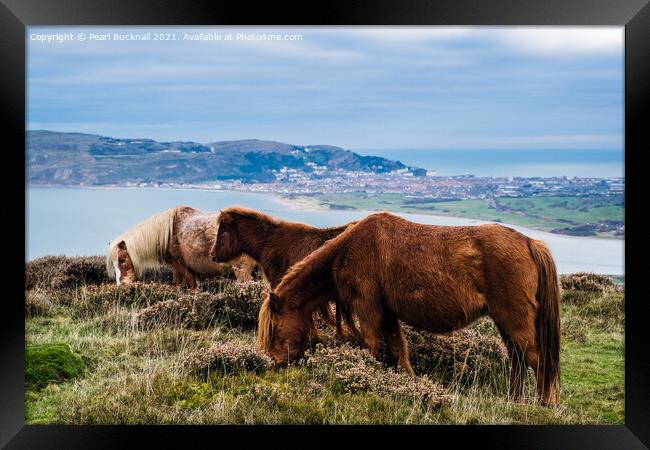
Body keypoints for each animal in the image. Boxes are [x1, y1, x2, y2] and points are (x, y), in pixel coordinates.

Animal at [106, 205, 253, 286]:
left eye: (122, 259)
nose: (121, 285)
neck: (169, 232)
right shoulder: (176, 268)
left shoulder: (184, 267)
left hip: (241, 270)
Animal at [258, 213, 560, 406]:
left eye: (275, 329)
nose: (274, 362)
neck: (347, 251)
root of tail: (530, 243)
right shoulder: (387, 313)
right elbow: (398, 349)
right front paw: (408, 383)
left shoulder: (367, 309)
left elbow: (372, 345)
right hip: (504, 321)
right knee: (518, 359)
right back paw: (514, 400)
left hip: (515, 319)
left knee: (536, 358)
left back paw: (546, 403)